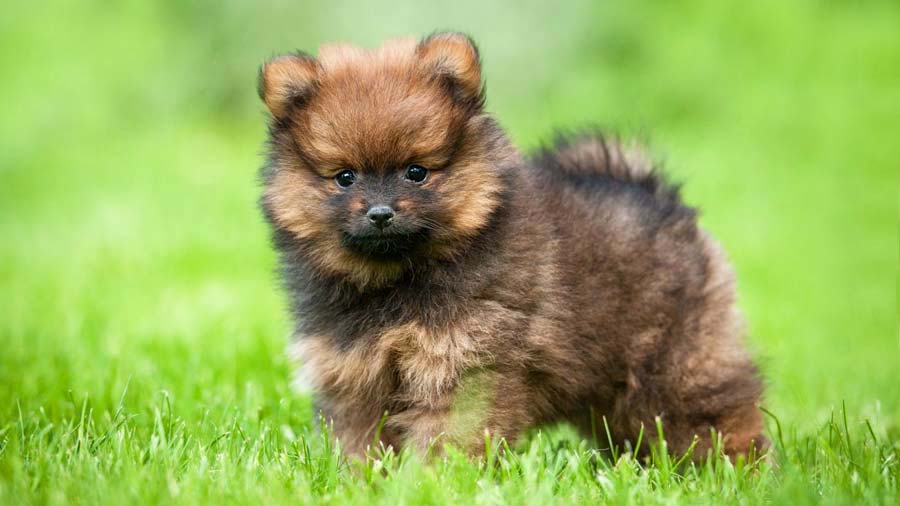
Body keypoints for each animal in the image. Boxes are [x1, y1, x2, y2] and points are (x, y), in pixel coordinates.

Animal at [258, 31, 768, 458]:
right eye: (344, 178)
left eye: (416, 172)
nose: (380, 213)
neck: (396, 281)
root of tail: (656, 193)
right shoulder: (355, 376)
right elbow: (360, 442)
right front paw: (366, 482)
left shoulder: (465, 368)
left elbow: (447, 439)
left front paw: (435, 481)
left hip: (678, 363)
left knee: (720, 412)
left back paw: (738, 470)